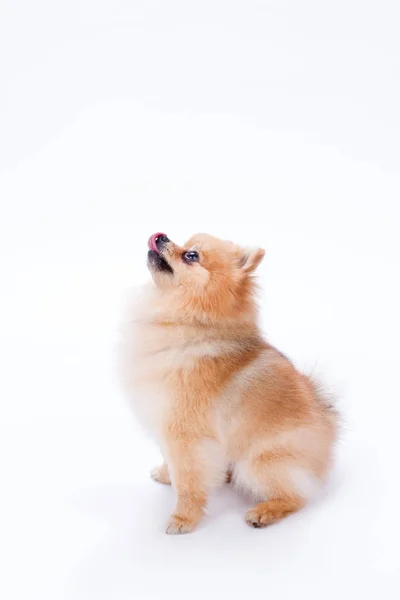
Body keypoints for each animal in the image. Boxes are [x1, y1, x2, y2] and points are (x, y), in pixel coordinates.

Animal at [119, 232, 338, 532]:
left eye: (191, 255)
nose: (161, 236)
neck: (189, 322)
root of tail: (328, 434)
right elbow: (170, 460)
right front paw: (165, 474)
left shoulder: (186, 436)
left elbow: (187, 482)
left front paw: (183, 518)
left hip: (258, 462)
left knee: (298, 496)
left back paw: (265, 511)